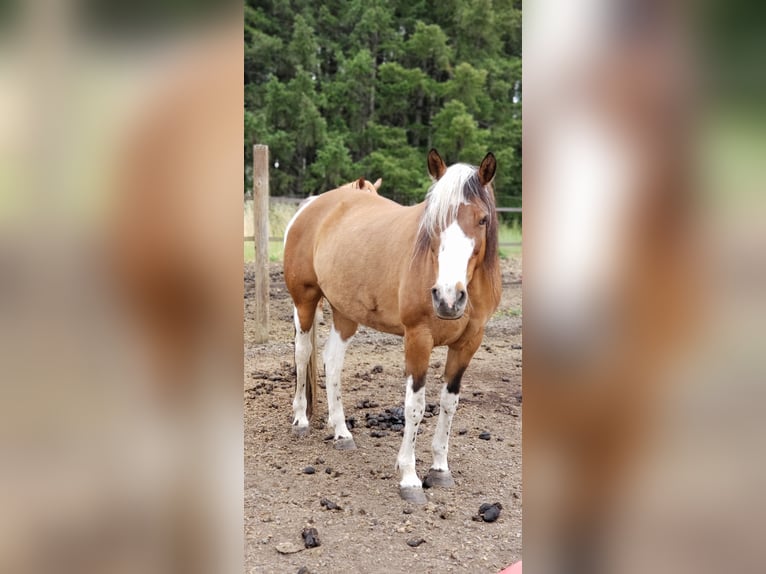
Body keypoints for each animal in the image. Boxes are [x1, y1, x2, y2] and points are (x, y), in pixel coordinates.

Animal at [283, 149, 502, 503]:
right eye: (433, 221)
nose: (448, 298)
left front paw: (440, 469)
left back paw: (341, 432)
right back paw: (301, 419)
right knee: (302, 354)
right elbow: (415, 407)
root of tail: (312, 205)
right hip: (305, 300)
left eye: (482, 219)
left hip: (345, 313)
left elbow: (449, 403)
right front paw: (409, 478)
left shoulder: (469, 343)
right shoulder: (418, 338)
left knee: (332, 361)